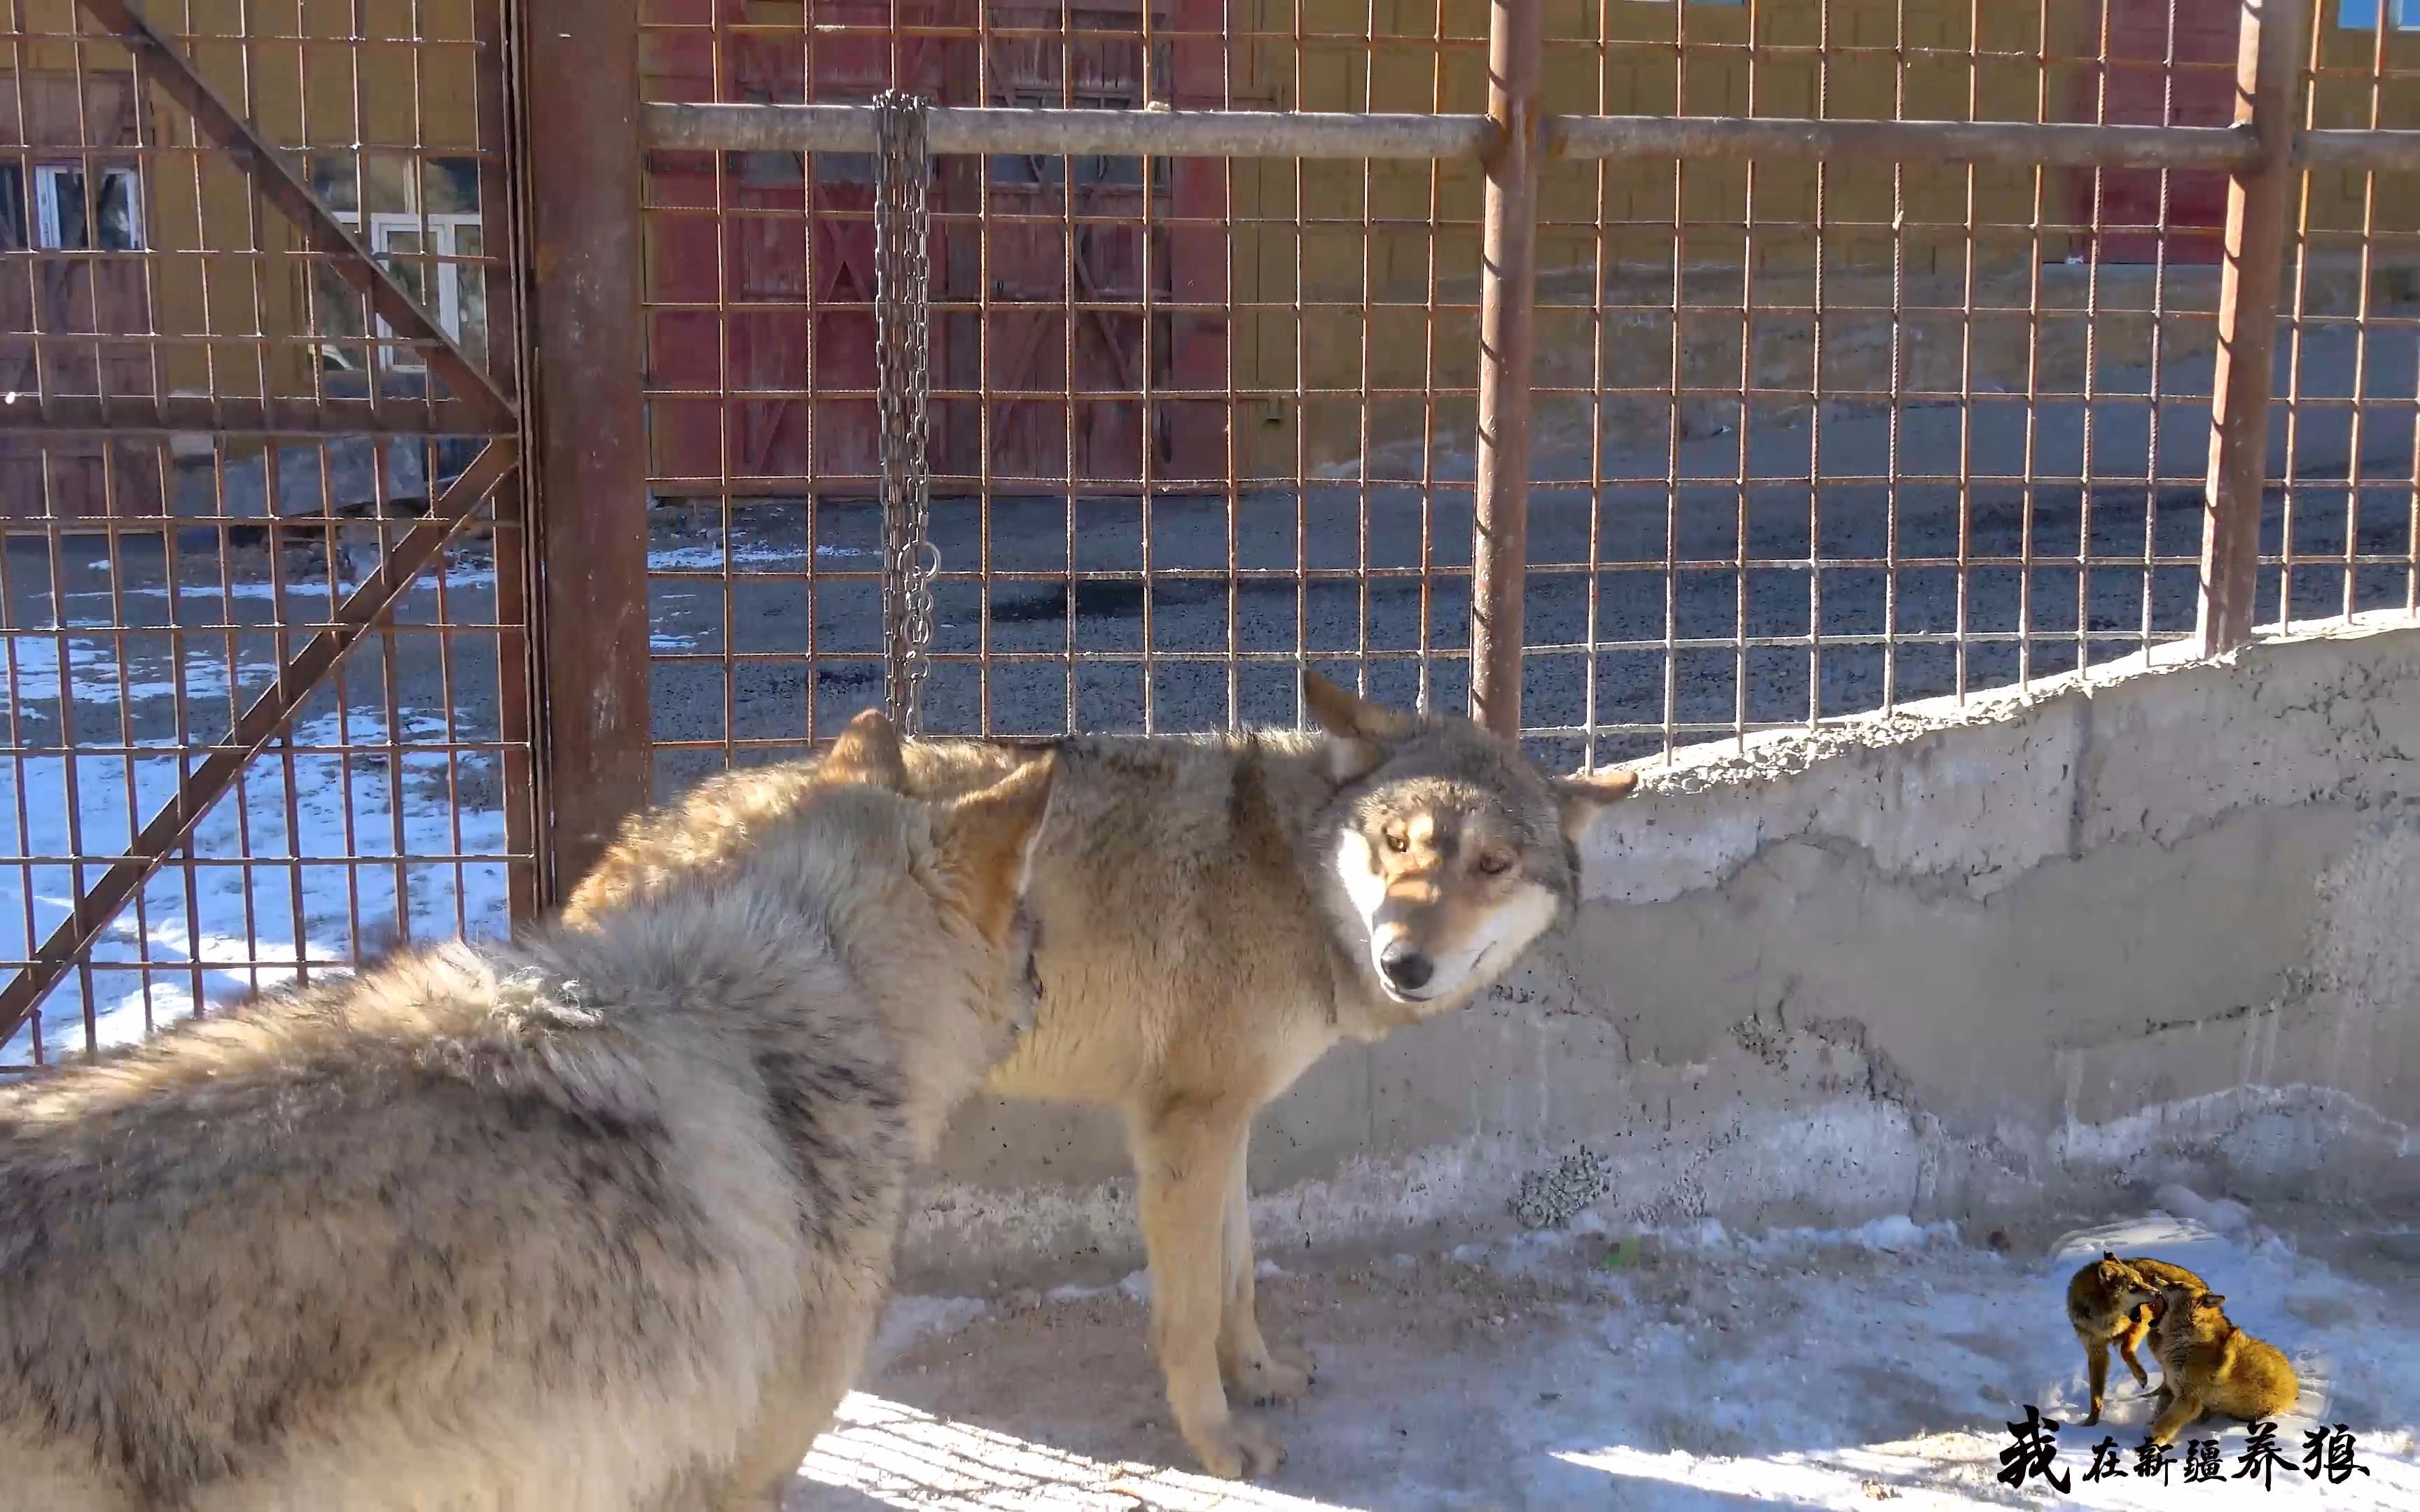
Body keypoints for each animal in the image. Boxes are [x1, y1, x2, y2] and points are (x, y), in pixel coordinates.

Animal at [566, 672, 1636, 1471]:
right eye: (1397, 843)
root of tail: (625, 848)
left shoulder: (1224, 1124)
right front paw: (1217, 1444)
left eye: (1493, 865)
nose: (1403, 961)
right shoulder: (1180, 1130)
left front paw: (1259, 1379)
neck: (1287, 873)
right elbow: (1190, 1310)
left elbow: (1237, 1281)